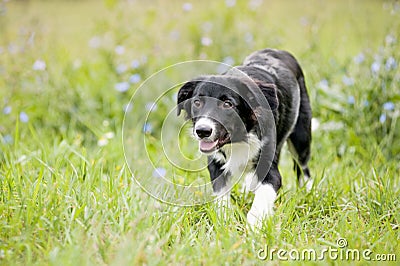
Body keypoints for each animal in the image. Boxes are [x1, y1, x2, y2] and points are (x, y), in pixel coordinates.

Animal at [177, 48, 312, 227]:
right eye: (197, 102)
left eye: (228, 104)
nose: (202, 131)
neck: (240, 136)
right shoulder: (216, 163)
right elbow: (221, 194)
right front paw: (224, 220)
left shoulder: (270, 168)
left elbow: (263, 194)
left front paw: (254, 225)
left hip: (301, 137)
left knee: (303, 168)